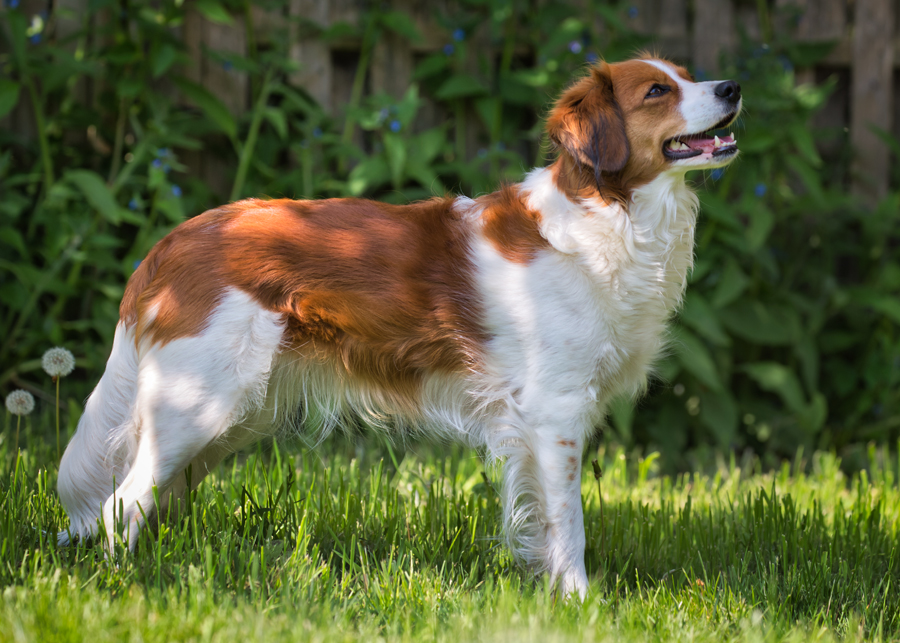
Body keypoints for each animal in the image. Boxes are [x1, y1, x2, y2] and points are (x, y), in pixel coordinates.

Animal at [59, 54, 740, 600]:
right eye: (657, 91)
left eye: (686, 74)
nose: (734, 86)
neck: (608, 216)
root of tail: (171, 243)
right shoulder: (555, 413)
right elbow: (566, 525)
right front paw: (578, 602)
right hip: (199, 404)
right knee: (123, 502)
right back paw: (127, 585)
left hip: (227, 418)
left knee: (143, 497)